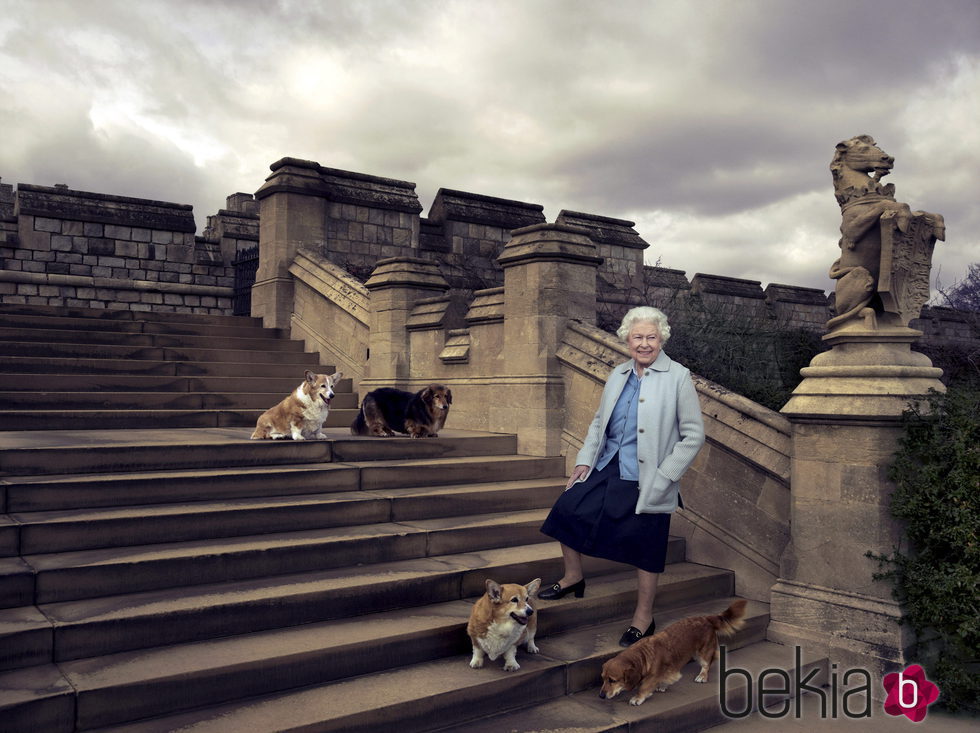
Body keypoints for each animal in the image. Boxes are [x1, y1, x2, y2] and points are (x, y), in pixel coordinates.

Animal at [596, 600, 752, 704]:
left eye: (613, 680)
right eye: (603, 678)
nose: (601, 696)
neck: (643, 655)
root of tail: (706, 618)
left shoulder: (653, 675)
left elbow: (644, 687)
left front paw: (637, 698)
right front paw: (662, 686)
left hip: (703, 652)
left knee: (707, 664)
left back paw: (702, 676)